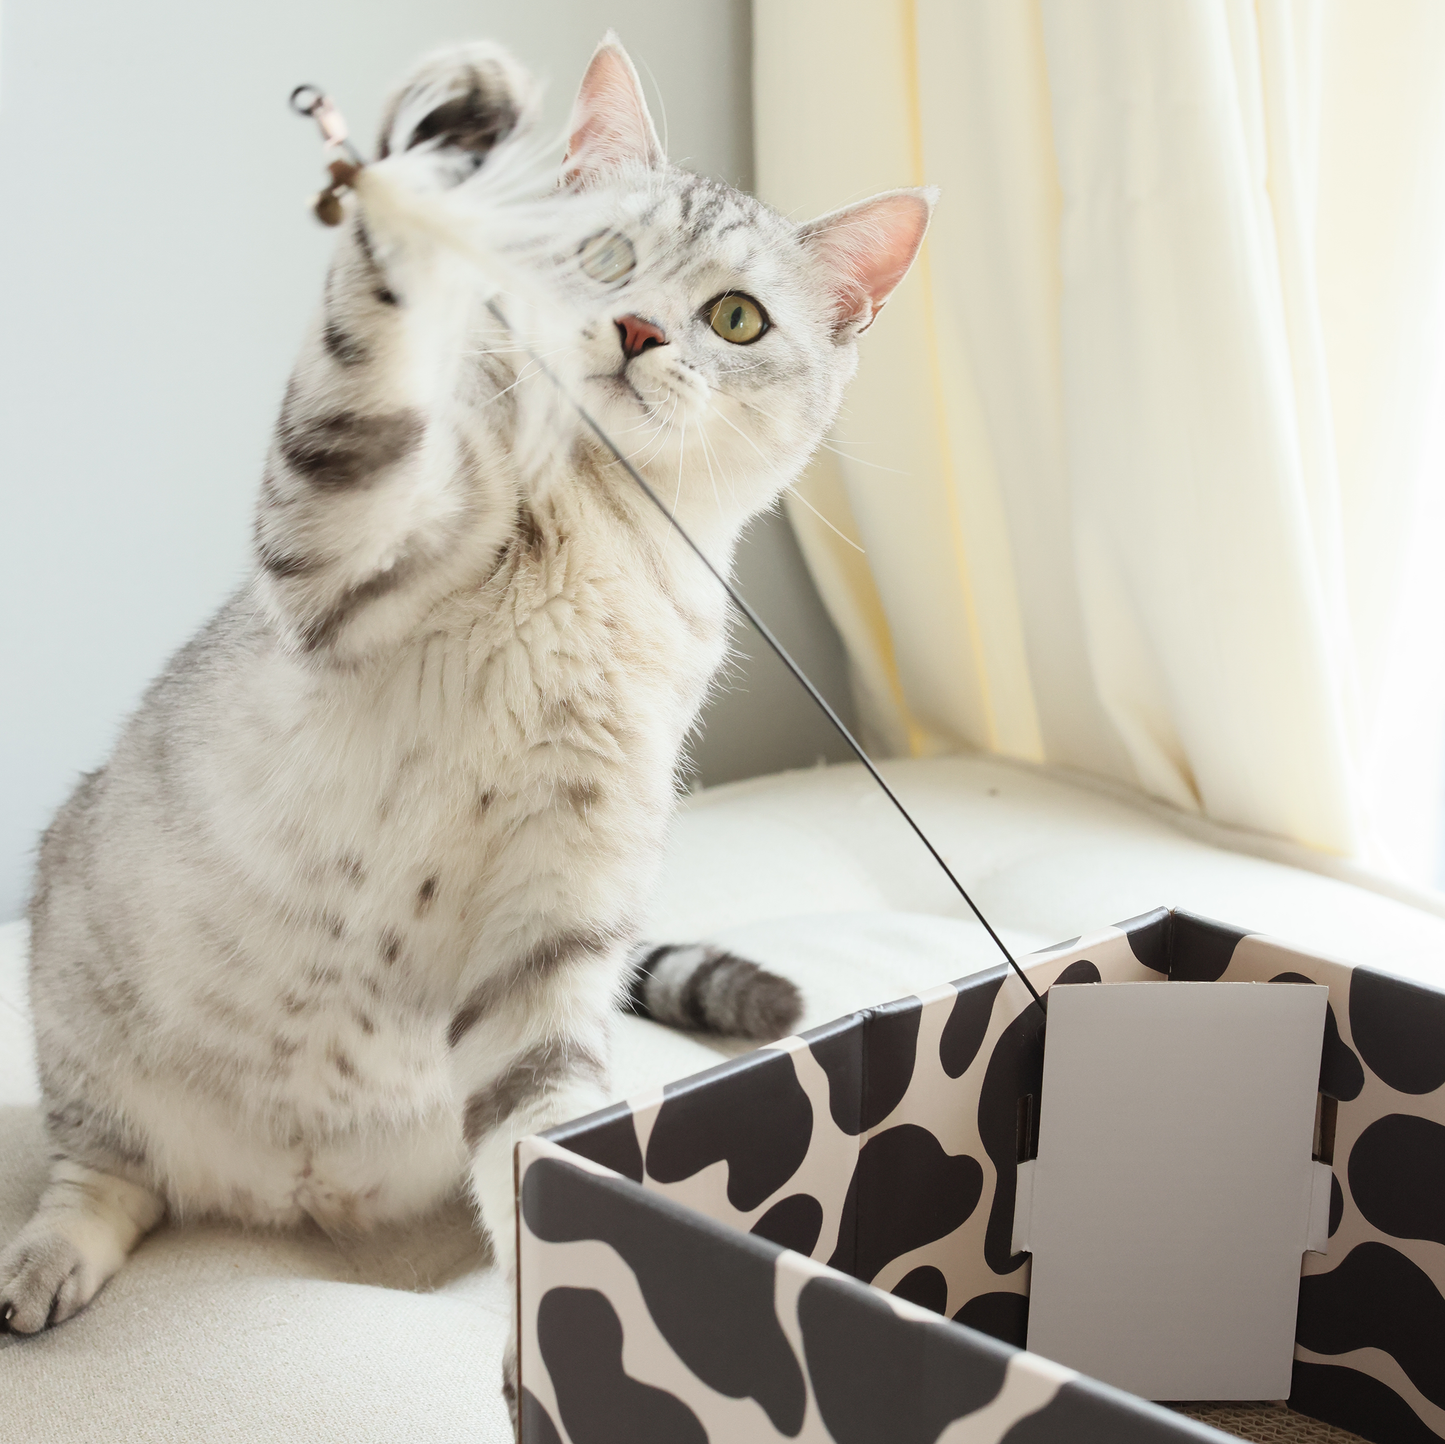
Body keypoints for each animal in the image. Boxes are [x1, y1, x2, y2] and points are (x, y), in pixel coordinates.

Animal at [0, 31, 930, 1387]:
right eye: (606, 257)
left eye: (734, 318)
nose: (638, 327)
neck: (597, 542)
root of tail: (291, 1198)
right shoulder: (336, 552)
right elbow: (366, 390)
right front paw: (419, 189)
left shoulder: (555, 923)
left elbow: (541, 1143)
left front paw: (553, 1335)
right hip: (79, 1001)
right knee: (107, 1176)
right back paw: (45, 1260)